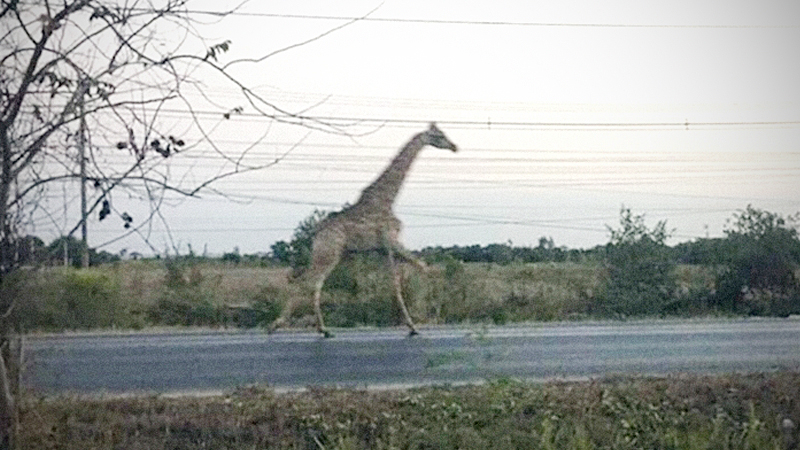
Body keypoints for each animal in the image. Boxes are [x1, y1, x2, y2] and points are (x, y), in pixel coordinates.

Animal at [272, 123, 458, 337]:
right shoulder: (391, 241)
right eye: (439, 135)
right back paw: (287, 325)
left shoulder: (384, 249)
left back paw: (319, 328)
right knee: (310, 281)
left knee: (311, 282)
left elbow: (413, 274)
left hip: (331, 254)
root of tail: (316, 234)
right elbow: (413, 274)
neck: (388, 199)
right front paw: (414, 325)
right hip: (329, 253)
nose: (454, 146)